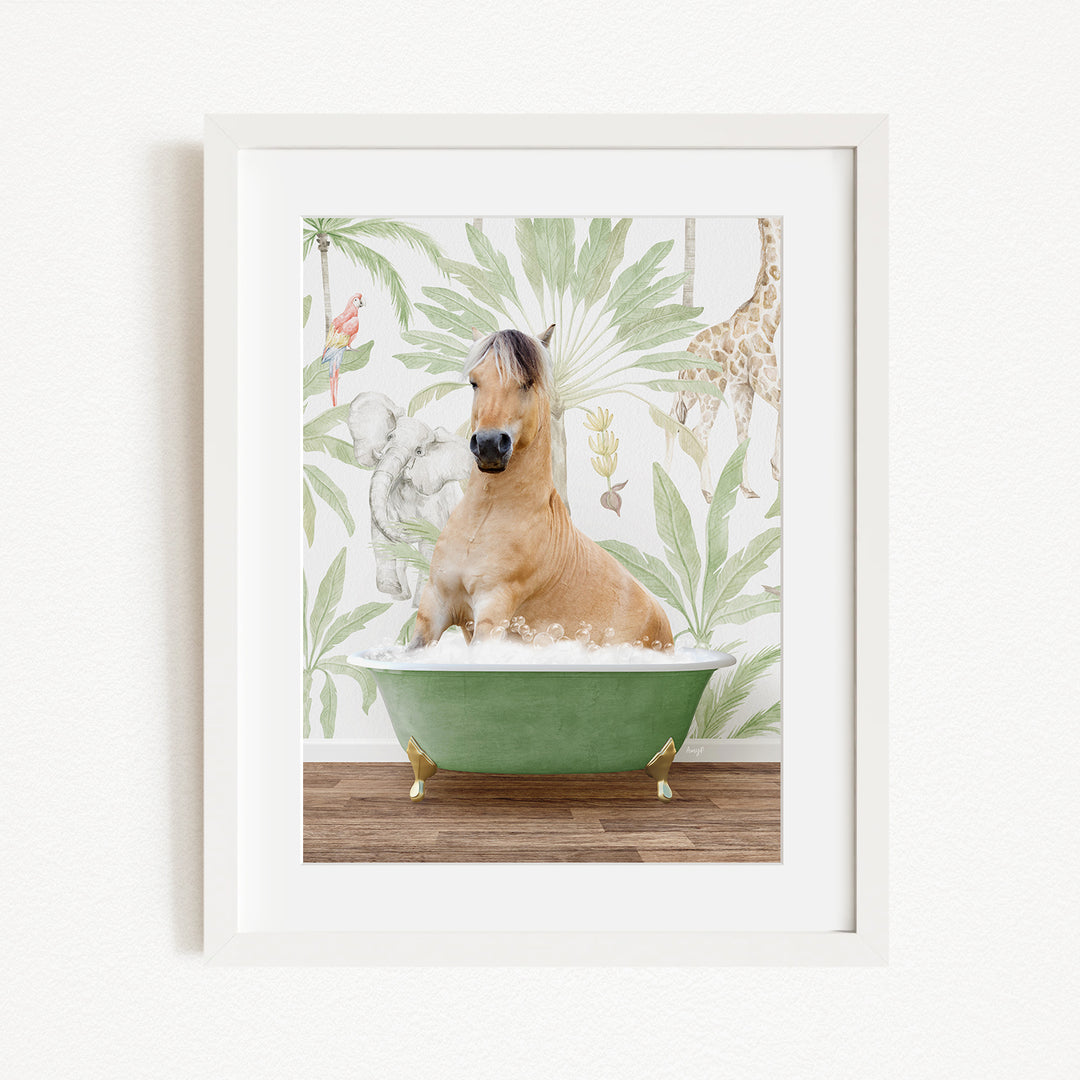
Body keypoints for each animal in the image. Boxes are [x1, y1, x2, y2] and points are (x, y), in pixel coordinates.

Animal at [410, 325, 674, 649]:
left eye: (527, 382)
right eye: (474, 382)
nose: (488, 445)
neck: (482, 522)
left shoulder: (493, 610)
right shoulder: (436, 603)